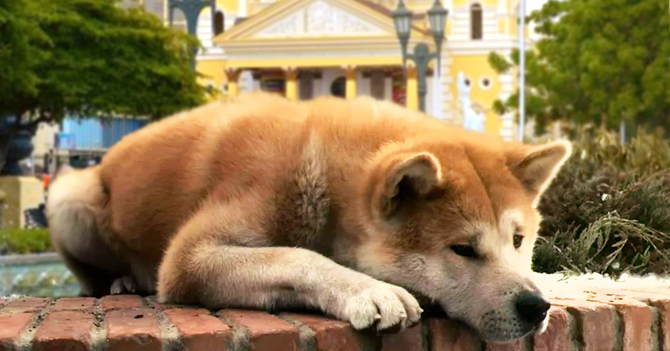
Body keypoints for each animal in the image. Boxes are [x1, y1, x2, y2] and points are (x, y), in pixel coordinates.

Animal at [47, 90, 572, 340]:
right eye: (462, 249)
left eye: (518, 241)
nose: (536, 306)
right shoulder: (188, 257)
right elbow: (296, 256)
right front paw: (367, 289)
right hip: (67, 199)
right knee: (92, 274)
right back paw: (122, 281)